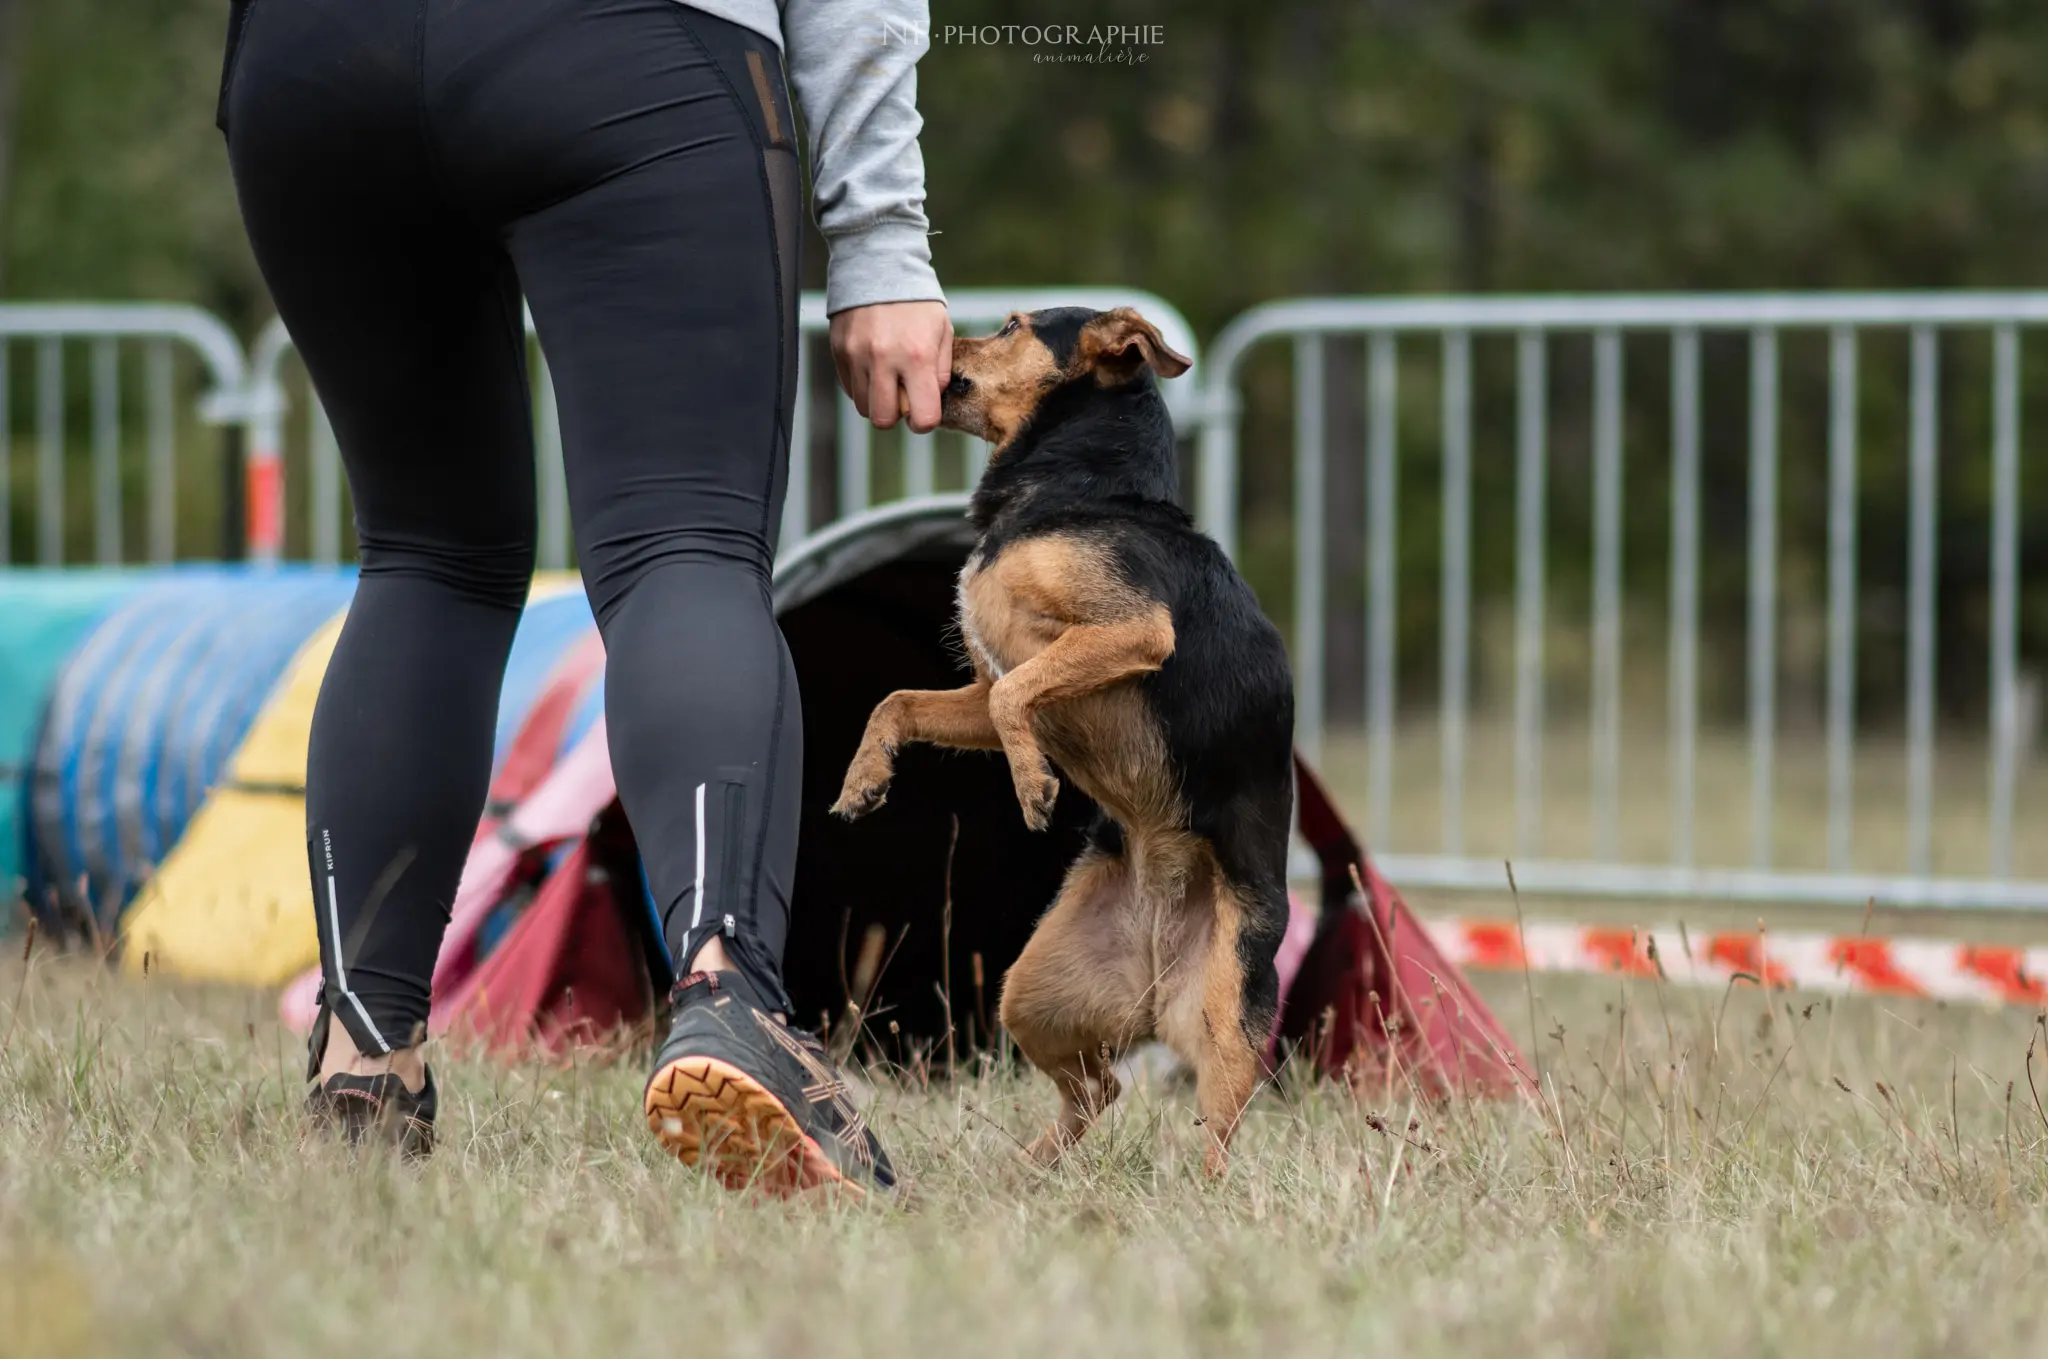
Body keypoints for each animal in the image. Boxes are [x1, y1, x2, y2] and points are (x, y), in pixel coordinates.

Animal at [823, 307, 1286, 1178]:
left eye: (1010, 325)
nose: (937, 334)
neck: (1075, 488)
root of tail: (1158, 972)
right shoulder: (977, 685)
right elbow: (898, 702)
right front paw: (864, 780)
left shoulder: (1133, 629)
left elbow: (1019, 692)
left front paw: (1034, 784)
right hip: (1034, 992)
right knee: (1099, 1088)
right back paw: (1028, 1166)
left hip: (1228, 1014)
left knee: (1213, 1130)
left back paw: (1198, 1190)